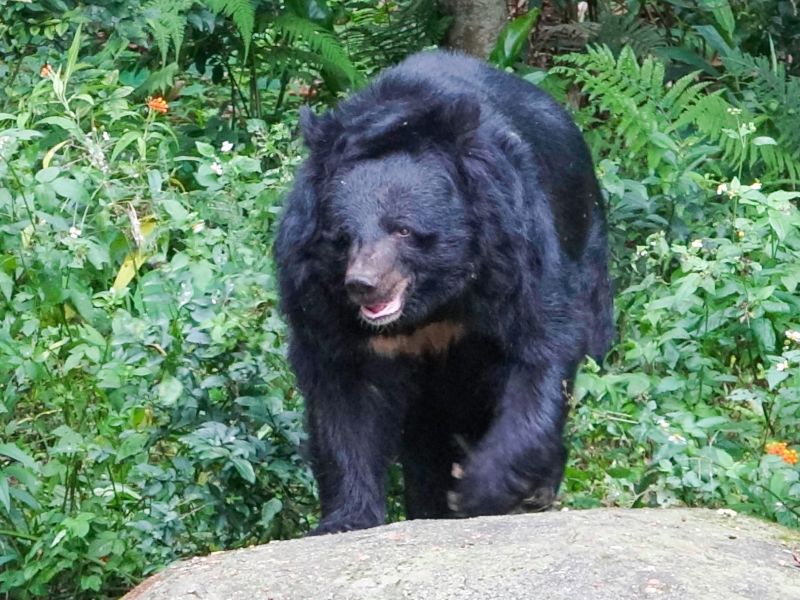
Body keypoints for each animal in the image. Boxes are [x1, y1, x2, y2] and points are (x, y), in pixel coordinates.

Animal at [276, 49, 612, 532]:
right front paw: (347, 518)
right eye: (343, 237)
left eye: (402, 230)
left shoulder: (512, 247)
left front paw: (478, 488)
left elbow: (540, 345)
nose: (362, 285)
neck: (432, 302)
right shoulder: (317, 293)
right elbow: (342, 389)